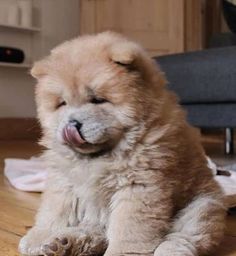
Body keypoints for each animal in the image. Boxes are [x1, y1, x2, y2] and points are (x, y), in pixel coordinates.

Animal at [19, 32, 226, 256]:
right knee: (96, 235)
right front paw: (37, 237)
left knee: (184, 236)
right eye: (62, 103)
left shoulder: (139, 187)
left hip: (200, 207)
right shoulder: (63, 181)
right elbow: (54, 211)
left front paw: (121, 252)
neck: (97, 156)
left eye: (97, 100)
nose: (72, 124)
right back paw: (62, 243)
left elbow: (129, 229)